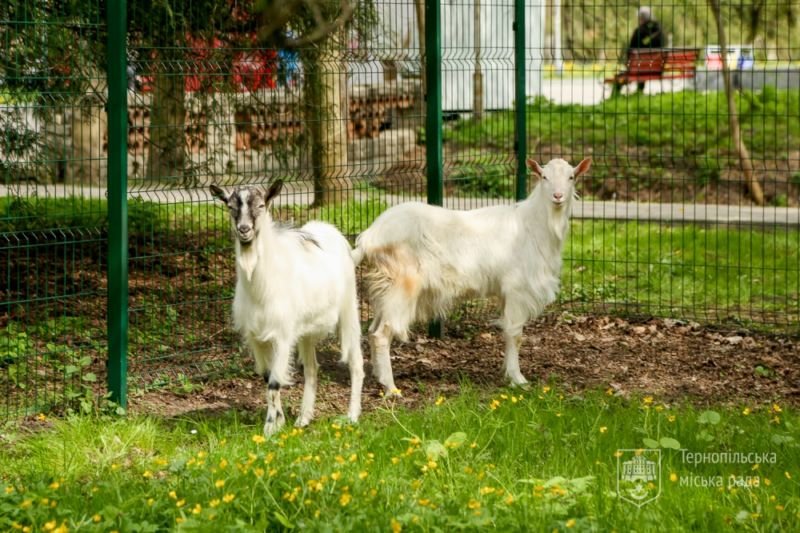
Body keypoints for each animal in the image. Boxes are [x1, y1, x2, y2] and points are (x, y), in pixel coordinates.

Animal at [211, 181, 364, 434]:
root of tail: (329, 229)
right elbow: (267, 378)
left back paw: (351, 416)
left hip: (349, 308)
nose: (244, 229)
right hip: (306, 330)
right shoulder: (256, 337)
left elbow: (274, 382)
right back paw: (304, 418)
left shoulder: (282, 335)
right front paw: (280, 420)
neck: (261, 290)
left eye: (261, 205)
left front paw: (269, 429)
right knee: (311, 368)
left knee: (356, 362)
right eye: (230, 206)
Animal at [354, 156, 592, 392]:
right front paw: (518, 379)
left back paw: (378, 377)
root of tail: (369, 238)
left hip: (386, 287)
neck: (534, 226)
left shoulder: (505, 293)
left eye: (571, 177)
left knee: (373, 330)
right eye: (544, 176)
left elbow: (508, 332)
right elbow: (515, 334)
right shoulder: (517, 288)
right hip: (403, 285)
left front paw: (507, 373)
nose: (558, 196)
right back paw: (391, 388)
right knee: (382, 333)